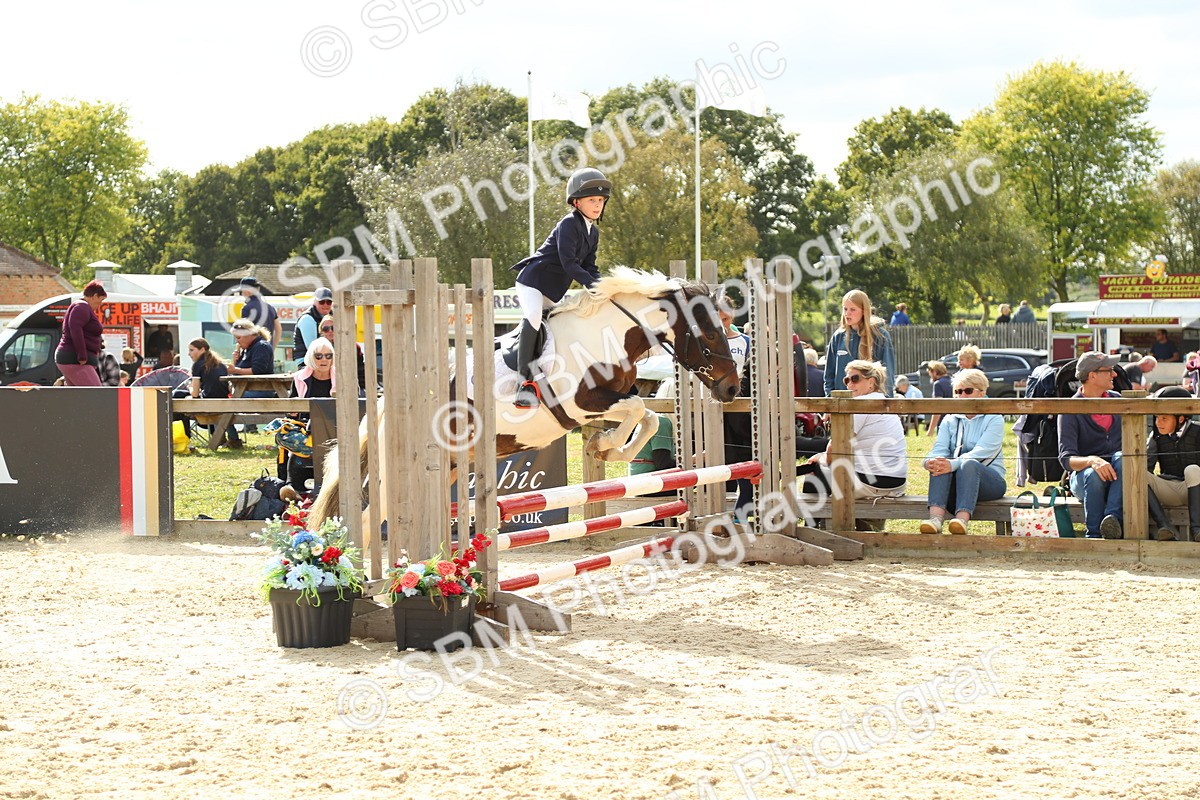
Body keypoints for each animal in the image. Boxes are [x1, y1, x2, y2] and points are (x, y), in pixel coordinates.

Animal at [307, 267, 741, 527]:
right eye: (711, 333)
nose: (732, 388)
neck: (605, 334)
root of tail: (385, 404)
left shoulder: (600, 405)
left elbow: (647, 417)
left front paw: (605, 447)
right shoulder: (581, 403)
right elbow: (638, 409)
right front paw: (606, 445)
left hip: (450, 465)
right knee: (372, 519)